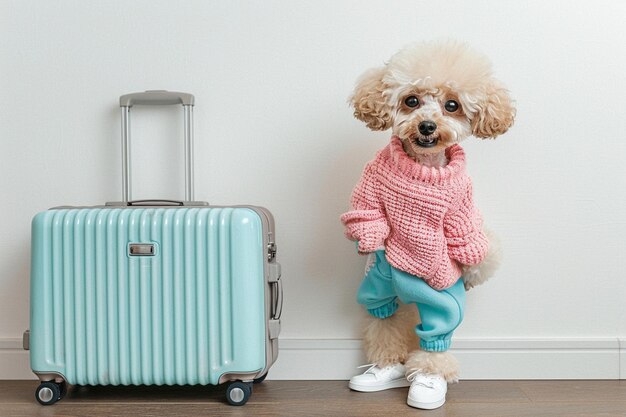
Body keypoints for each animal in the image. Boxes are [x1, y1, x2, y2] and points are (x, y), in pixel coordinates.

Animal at [342, 40, 512, 408]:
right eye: (411, 101)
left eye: (452, 105)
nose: (427, 126)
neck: (423, 168)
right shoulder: (370, 186)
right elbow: (367, 215)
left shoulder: (461, 208)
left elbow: (466, 241)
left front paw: (429, 383)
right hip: (379, 284)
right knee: (384, 314)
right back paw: (387, 366)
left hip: (442, 295)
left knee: (438, 330)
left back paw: (428, 376)